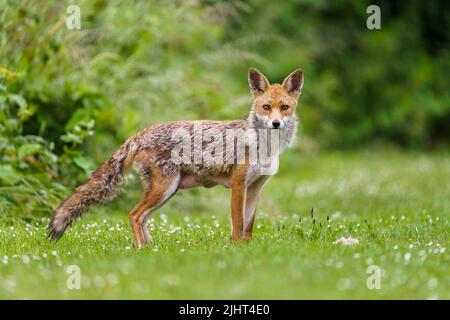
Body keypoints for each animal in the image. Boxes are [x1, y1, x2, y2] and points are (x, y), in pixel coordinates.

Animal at [48, 67, 302, 248]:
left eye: (284, 107)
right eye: (266, 107)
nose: (276, 123)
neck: (264, 146)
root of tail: (140, 133)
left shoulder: (256, 187)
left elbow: (248, 224)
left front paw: (247, 248)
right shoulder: (239, 185)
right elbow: (237, 224)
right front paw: (237, 248)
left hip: (168, 191)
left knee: (142, 217)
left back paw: (150, 247)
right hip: (164, 188)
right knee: (134, 214)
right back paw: (141, 249)